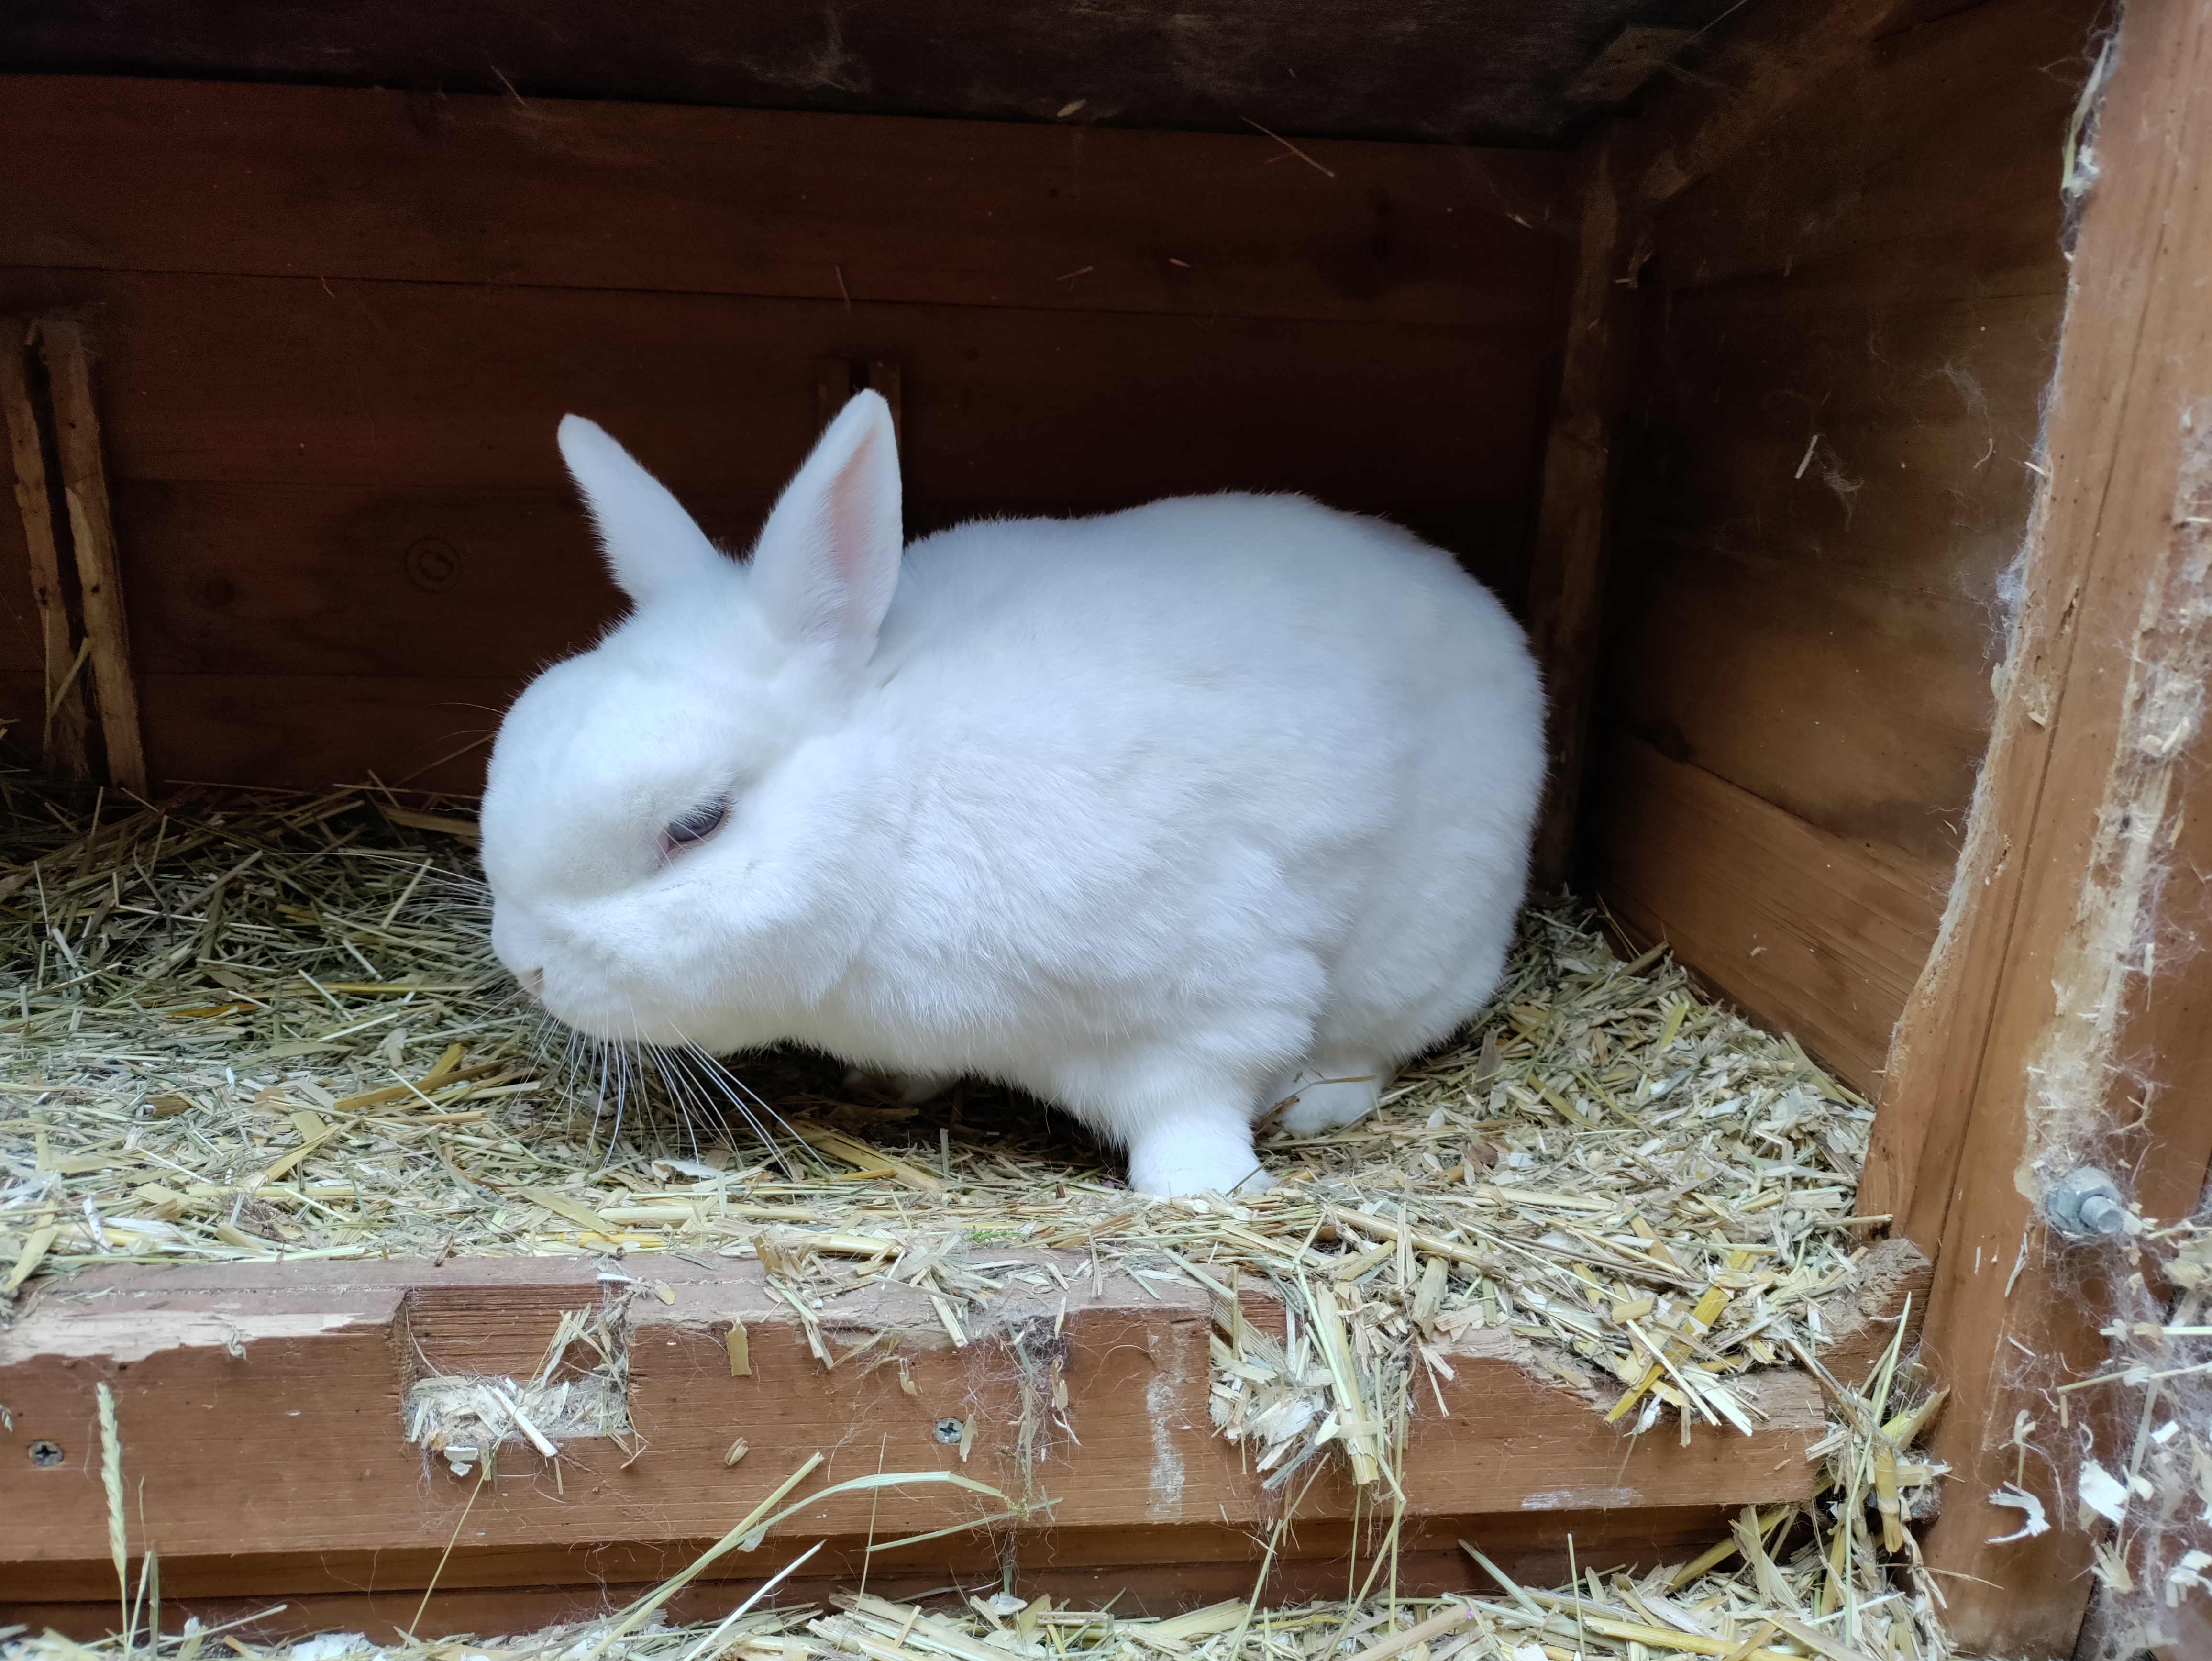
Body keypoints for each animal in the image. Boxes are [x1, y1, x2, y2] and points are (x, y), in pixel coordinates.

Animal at [481, 390, 1545, 1197]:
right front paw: (888, 1081)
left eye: (694, 826)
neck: (900, 816)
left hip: (1423, 944)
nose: (525, 965)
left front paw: (1200, 1187)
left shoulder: (1214, 990)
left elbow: (1193, 1096)